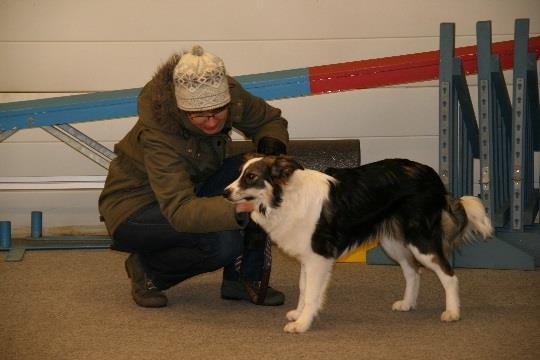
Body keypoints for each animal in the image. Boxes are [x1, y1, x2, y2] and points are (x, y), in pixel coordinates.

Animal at [224, 155, 494, 332]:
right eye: (239, 174)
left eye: (251, 177)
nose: (225, 192)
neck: (286, 197)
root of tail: (433, 175)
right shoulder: (308, 256)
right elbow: (304, 289)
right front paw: (300, 315)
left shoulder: (319, 256)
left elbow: (311, 293)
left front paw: (302, 323)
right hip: (393, 241)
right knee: (412, 271)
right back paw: (407, 303)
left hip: (421, 239)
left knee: (448, 275)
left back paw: (453, 312)